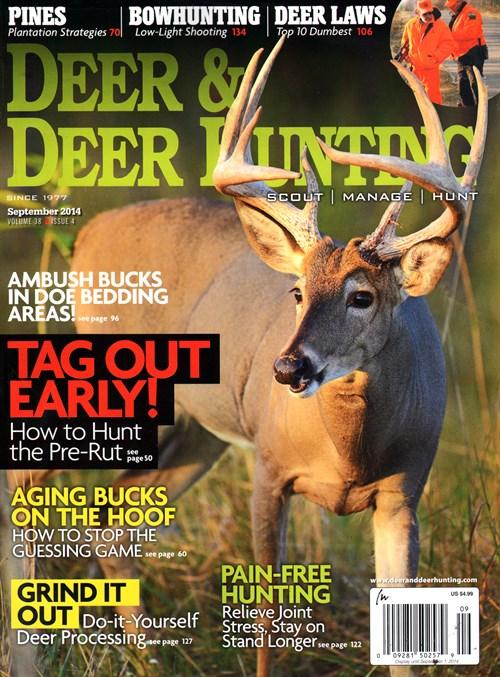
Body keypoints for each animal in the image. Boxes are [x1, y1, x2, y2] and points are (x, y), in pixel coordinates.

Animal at [7, 38, 486, 677]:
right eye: (297, 292)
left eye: (362, 296)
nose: (287, 368)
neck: (349, 456)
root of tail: (87, 234)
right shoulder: (268, 465)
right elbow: (263, 618)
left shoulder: (404, 492)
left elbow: (404, 638)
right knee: (22, 488)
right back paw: (26, 655)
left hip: (191, 432)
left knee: (109, 531)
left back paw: (147, 660)